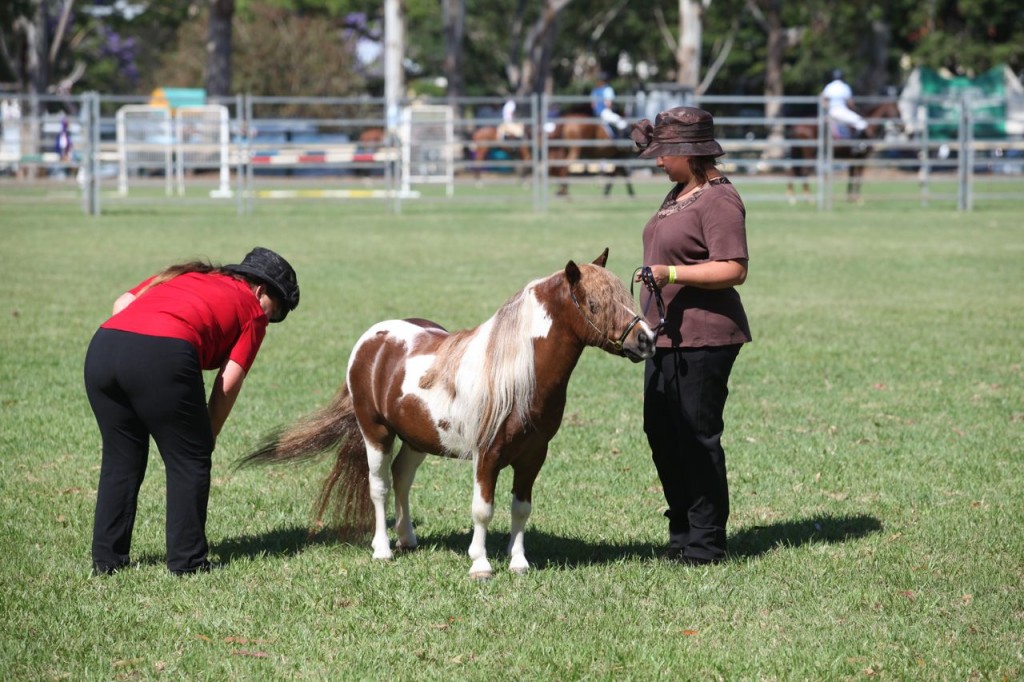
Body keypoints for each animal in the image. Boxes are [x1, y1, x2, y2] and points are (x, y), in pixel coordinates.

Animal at [237, 246, 655, 577]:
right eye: (594, 304)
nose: (647, 339)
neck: (516, 373)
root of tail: (372, 338)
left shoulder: (533, 454)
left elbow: (521, 508)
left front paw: (519, 563)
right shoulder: (487, 455)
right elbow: (483, 509)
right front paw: (481, 565)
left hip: (417, 439)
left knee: (402, 477)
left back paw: (407, 539)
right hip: (375, 432)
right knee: (379, 486)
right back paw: (383, 549)